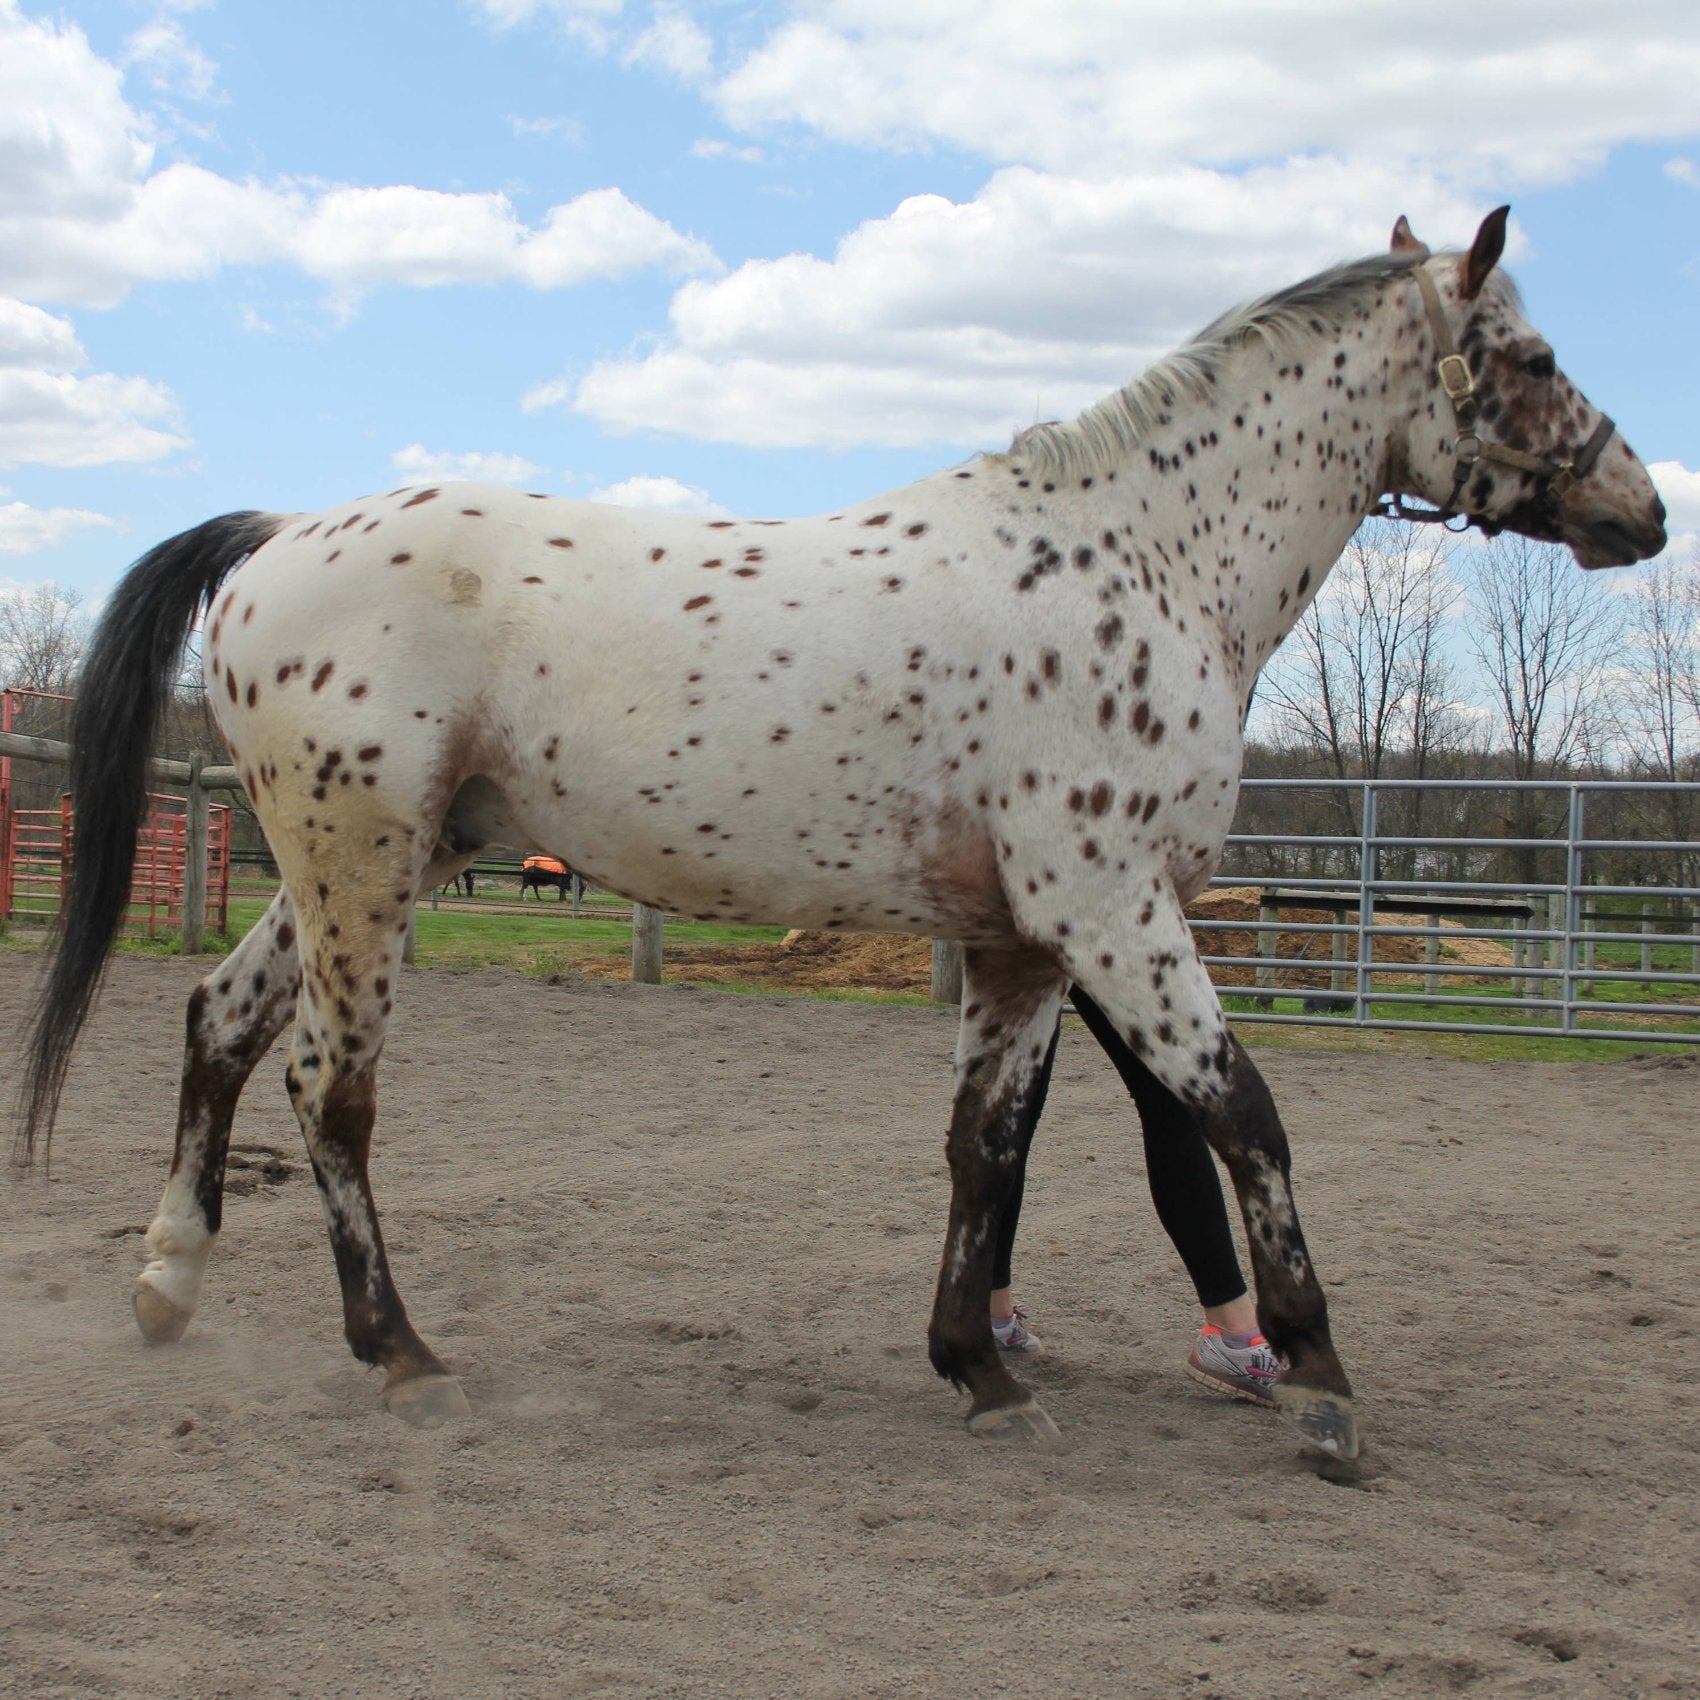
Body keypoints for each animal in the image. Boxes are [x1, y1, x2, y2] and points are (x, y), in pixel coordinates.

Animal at [19, 212, 1666, 1462]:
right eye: (1531, 358)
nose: (1641, 510)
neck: (1141, 566)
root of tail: (278, 537)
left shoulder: (1022, 942)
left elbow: (986, 1146)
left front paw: (979, 1368)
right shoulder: (1112, 914)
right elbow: (1242, 1113)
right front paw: (1320, 1380)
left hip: (365, 863)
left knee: (221, 1021)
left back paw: (170, 1281)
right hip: (360, 869)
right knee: (330, 1086)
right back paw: (402, 1353)